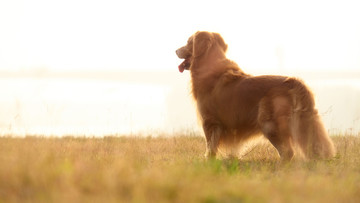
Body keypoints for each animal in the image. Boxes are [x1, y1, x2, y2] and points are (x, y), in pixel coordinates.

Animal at [176, 30, 336, 160]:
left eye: (189, 42)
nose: (175, 50)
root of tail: (292, 82)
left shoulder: (210, 122)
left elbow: (210, 148)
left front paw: (209, 163)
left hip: (268, 124)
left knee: (288, 152)